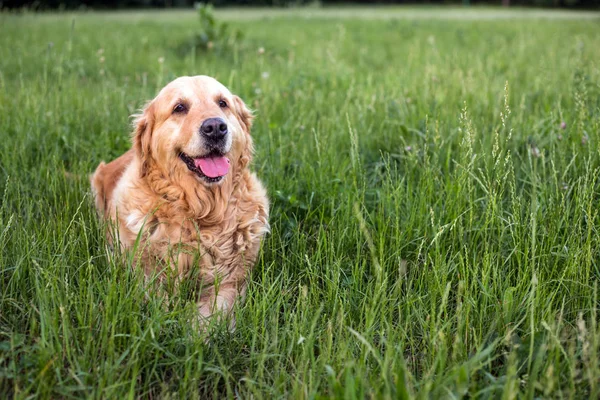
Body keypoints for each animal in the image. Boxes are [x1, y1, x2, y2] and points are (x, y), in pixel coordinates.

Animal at [90, 76, 268, 328]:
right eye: (179, 108)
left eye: (222, 103)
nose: (215, 128)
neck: (200, 210)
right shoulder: (143, 272)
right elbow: (158, 303)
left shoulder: (231, 280)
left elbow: (212, 313)